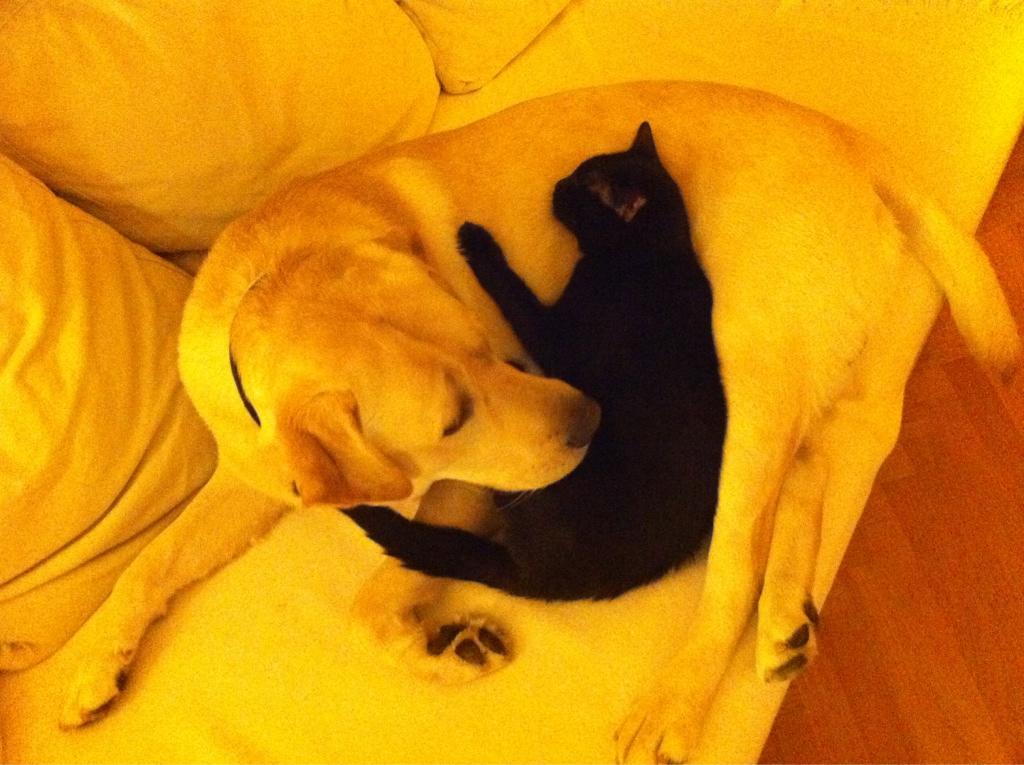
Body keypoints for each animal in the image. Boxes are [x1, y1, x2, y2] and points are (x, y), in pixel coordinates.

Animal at [346, 122, 726, 600]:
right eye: (581, 171)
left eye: (585, 184)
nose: (559, 183)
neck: (653, 251)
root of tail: (541, 579)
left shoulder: (556, 336)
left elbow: (516, 293)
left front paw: (477, 243)